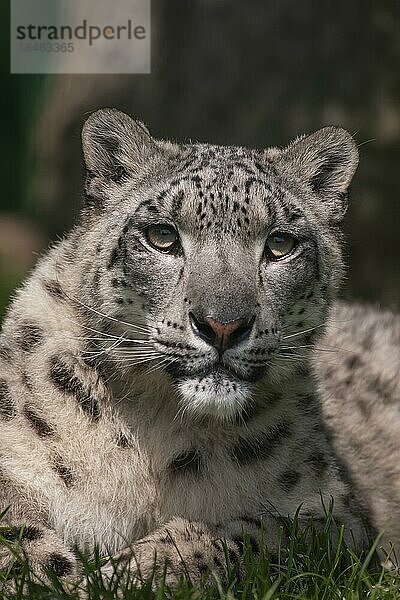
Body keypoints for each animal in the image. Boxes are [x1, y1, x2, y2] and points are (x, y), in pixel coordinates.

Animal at [0, 106, 400, 584]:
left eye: (279, 243)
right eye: (162, 236)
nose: (223, 325)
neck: (154, 427)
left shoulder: (335, 517)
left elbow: (250, 531)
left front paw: (136, 572)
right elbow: (12, 530)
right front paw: (57, 577)